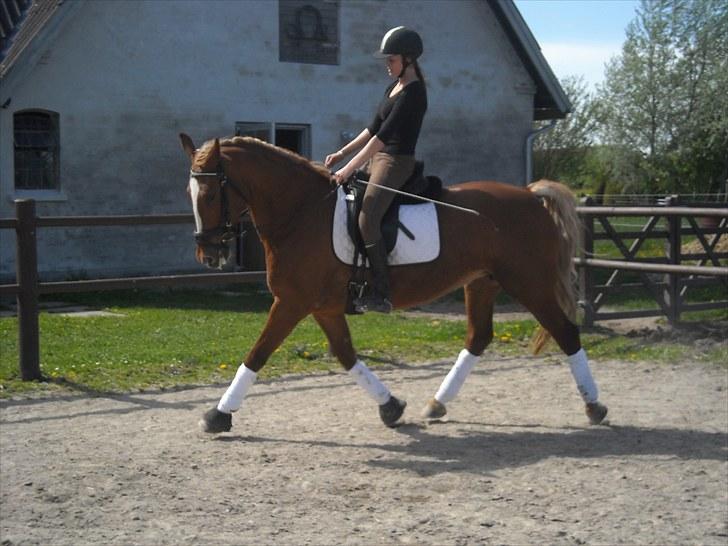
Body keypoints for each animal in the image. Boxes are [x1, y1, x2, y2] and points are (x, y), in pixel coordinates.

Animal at [181, 134, 608, 432]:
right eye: (191, 192)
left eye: (211, 193)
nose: (208, 254)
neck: (302, 212)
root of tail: (531, 196)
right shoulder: (322, 307)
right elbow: (346, 354)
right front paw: (390, 406)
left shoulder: (291, 303)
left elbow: (258, 353)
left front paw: (218, 414)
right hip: (482, 283)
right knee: (478, 338)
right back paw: (437, 403)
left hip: (529, 282)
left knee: (565, 332)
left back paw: (594, 406)